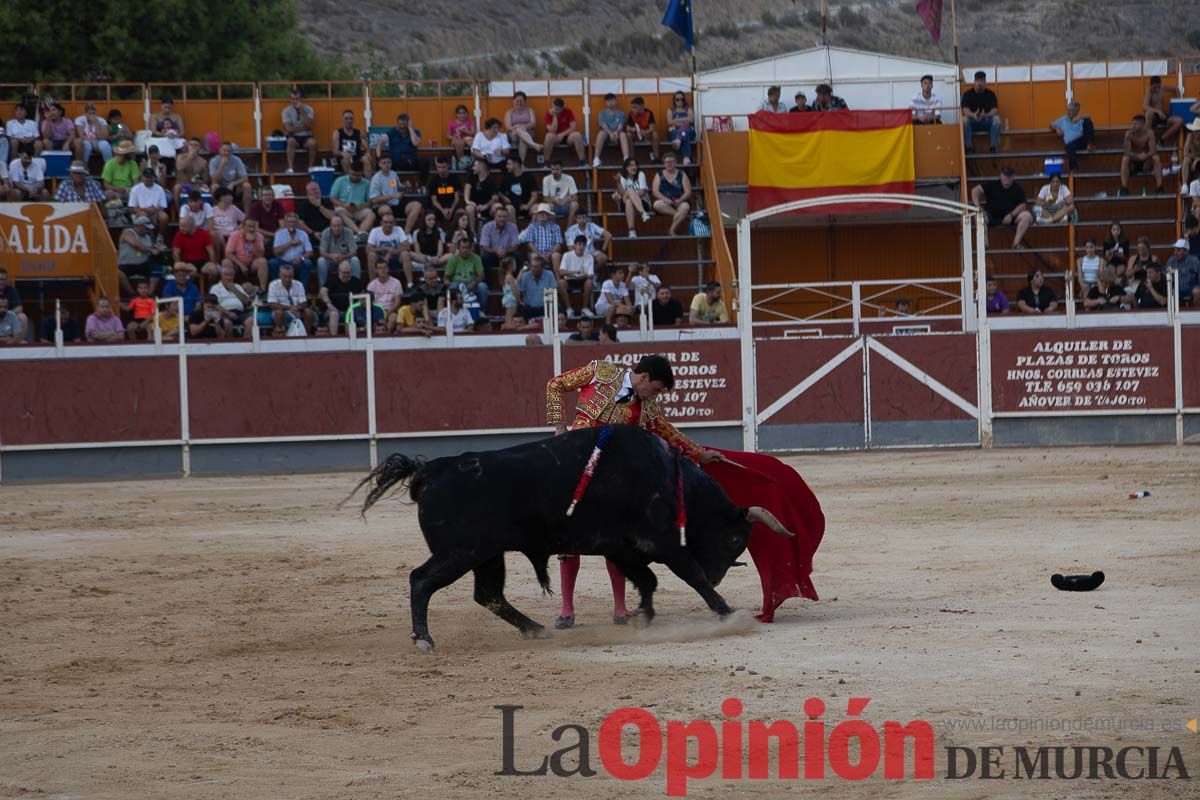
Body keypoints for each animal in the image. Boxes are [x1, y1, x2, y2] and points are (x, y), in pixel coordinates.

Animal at [350, 424, 792, 652]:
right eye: (734, 541)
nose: (720, 574)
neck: (671, 479)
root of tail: (431, 469)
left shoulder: (623, 547)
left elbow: (647, 581)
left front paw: (643, 618)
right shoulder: (665, 544)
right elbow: (690, 577)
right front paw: (726, 612)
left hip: (487, 554)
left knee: (488, 594)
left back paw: (535, 629)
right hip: (460, 552)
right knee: (422, 580)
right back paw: (424, 639)